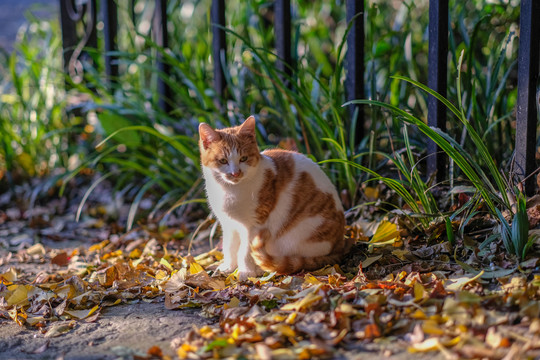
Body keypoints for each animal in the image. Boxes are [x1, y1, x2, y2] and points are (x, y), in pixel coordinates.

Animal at [198, 116, 350, 280]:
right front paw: (229, 267)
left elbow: (245, 251)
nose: (235, 173)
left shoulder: (255, 226)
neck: (229, 190)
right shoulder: (229, 224)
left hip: (294, 237)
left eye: (243, 158)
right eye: (223, 161)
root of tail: (339, 245)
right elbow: (229, 247)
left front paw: (246, 272)